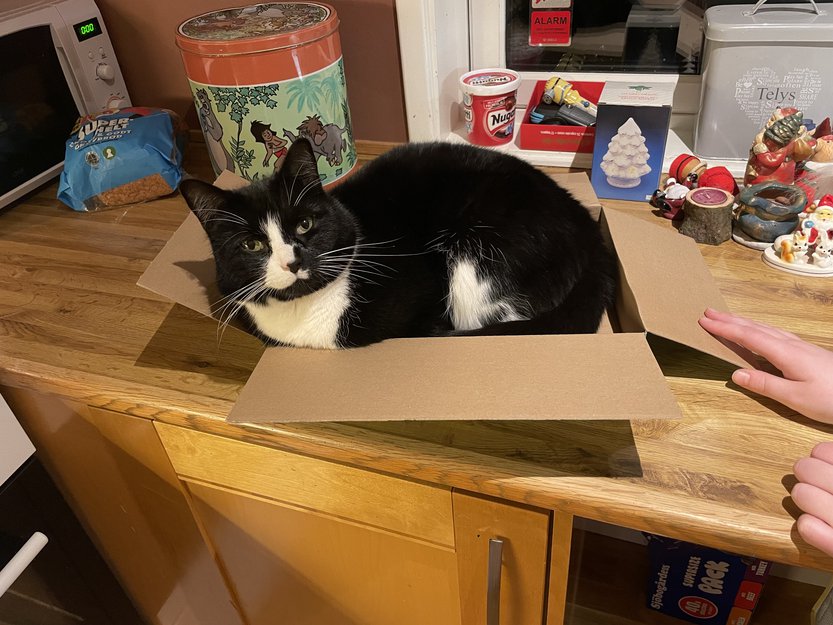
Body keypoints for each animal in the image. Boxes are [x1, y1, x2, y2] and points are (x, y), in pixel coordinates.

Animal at [178, 139, 618, 349]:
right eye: (252, 246)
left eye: (304, 224)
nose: (293, 261)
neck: (307, 313)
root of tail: (586, 225)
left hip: (479, 259)